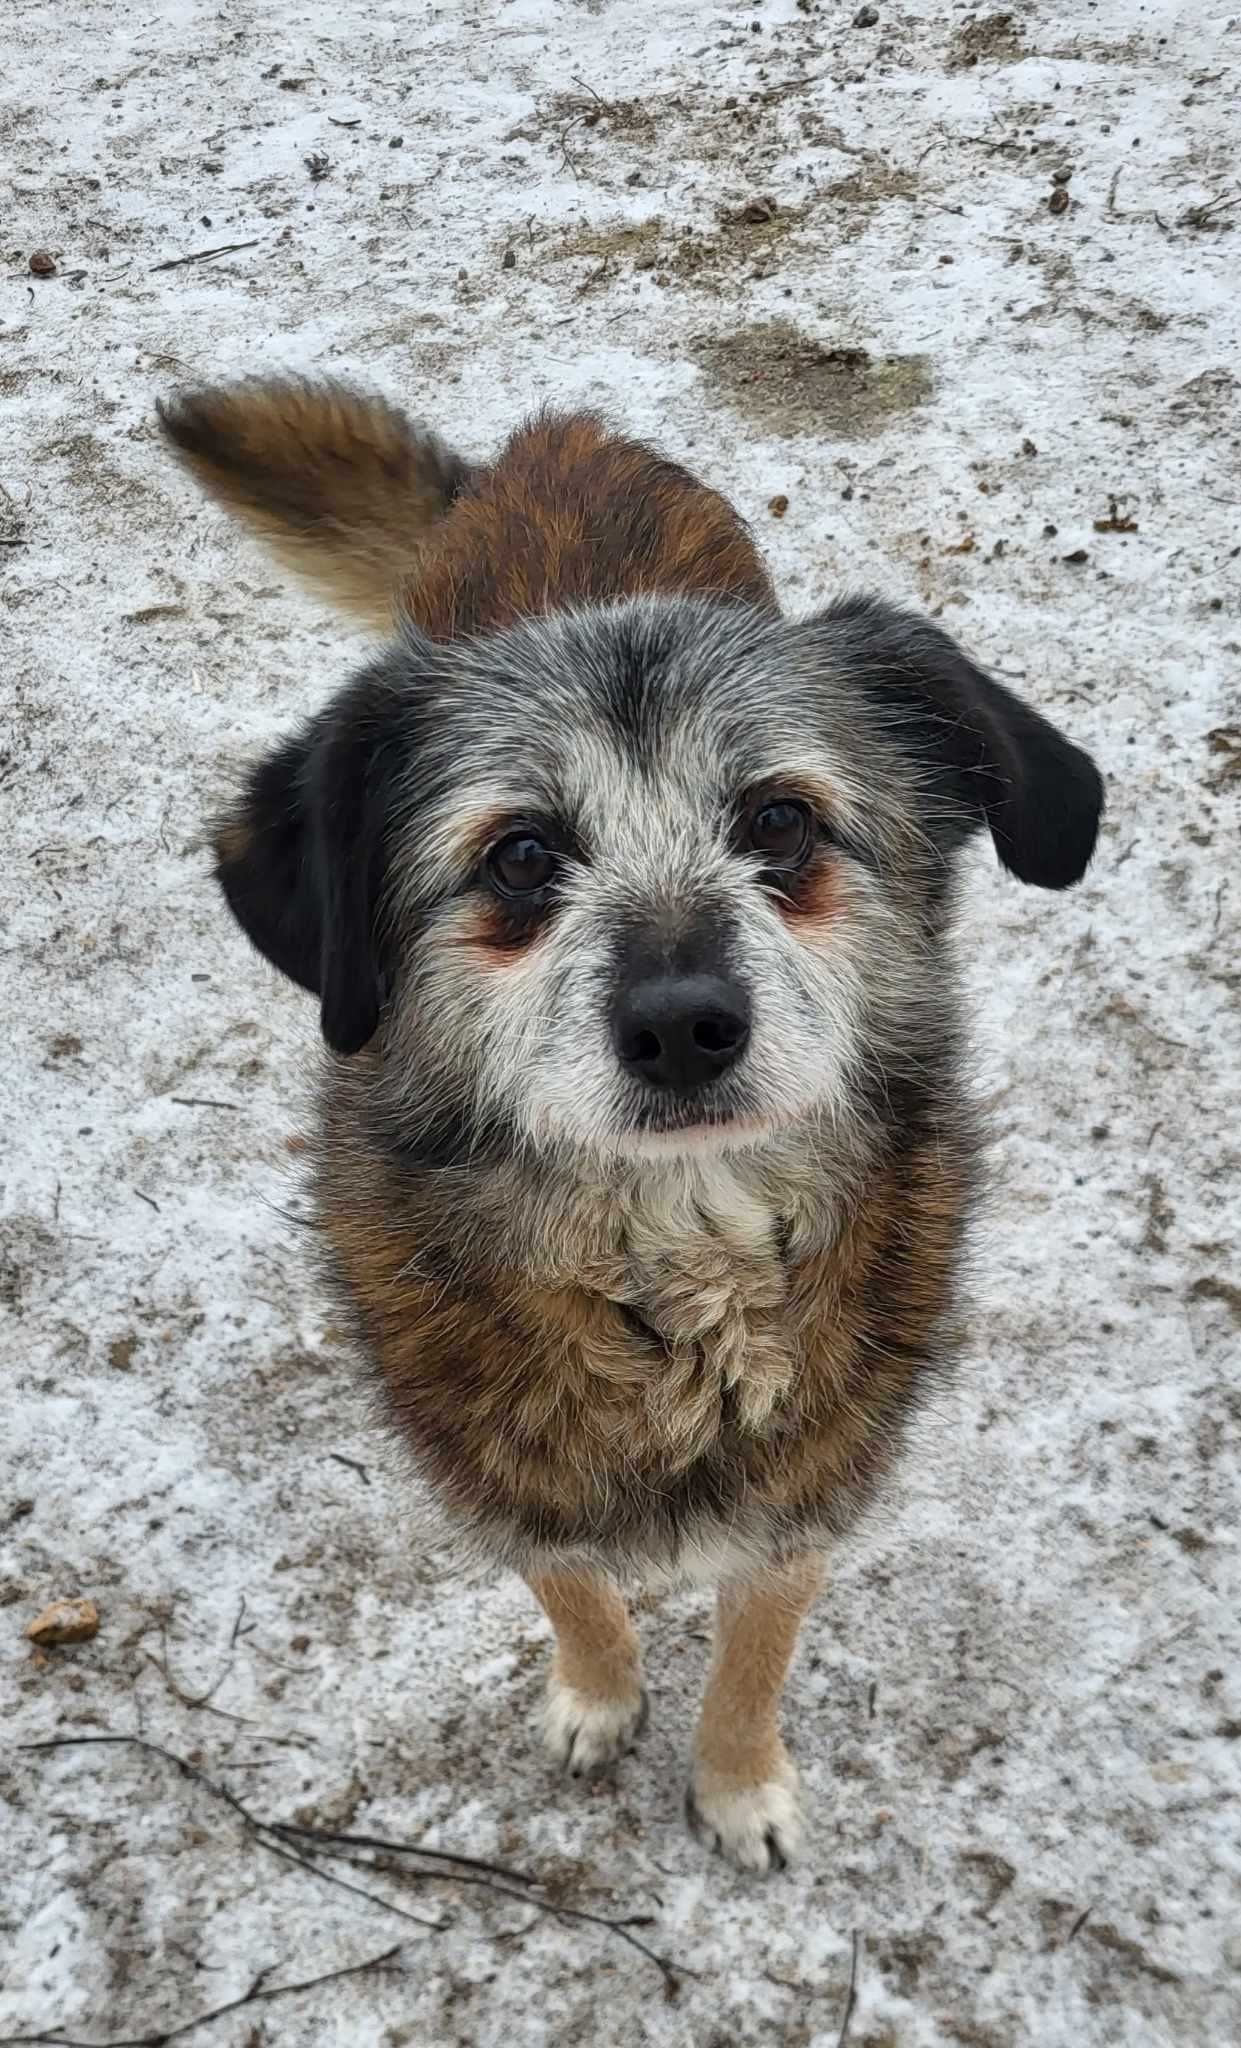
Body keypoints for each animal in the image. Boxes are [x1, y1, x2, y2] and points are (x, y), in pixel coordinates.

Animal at [160, 380, 1105, 1875]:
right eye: (521, 854)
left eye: (780, 821)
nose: (678, 1027)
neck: (673, 1264)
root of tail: (561, 435)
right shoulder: (498, 1467)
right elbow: (572, 1589)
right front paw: (598, 1698)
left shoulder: (804, 1494)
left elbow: (756, 1648)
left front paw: (736, 1781)